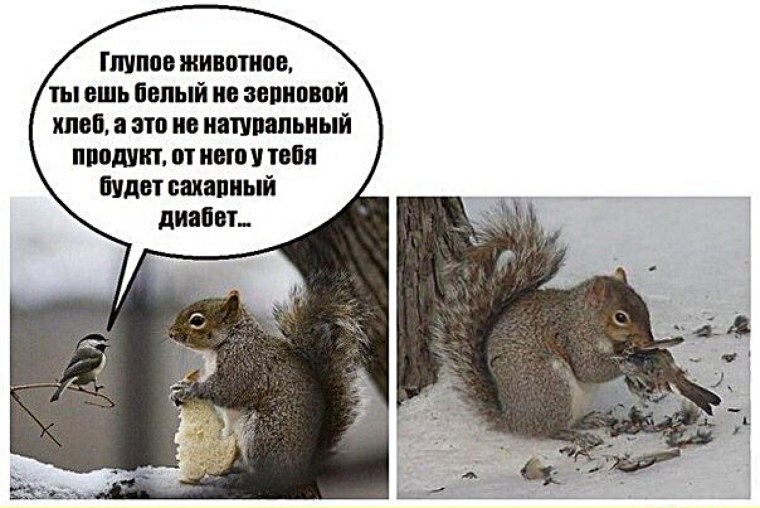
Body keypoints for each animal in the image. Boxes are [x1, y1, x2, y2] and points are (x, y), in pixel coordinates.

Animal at [168, 272, 370, 492]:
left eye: (197, 320)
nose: (170, 333)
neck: (230, 338)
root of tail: (302, 469)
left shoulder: (245, 363)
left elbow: (227, 389)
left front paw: (188, 389)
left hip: (263, 434)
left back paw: (247, 479)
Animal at [435, 202, 657, 442]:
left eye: (643, 304)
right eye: (620, 317)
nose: (648, 341)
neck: (585, 318)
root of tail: (513, 420)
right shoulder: (573, 337)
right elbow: (588, 368)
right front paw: (628, 364)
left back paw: (588, 421)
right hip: (552, 386)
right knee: (550, 431)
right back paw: (574, 435)